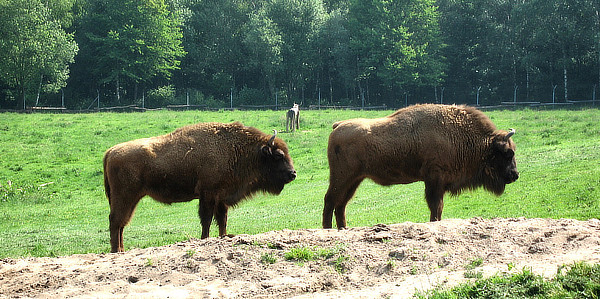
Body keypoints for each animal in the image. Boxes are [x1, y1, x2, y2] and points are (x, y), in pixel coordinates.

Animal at [105, 122, 298, 253]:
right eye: (278, 155)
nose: (293, 174)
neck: (237, 150)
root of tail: (110, 151)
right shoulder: (208, 195)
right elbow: (206, 219)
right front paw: (205, 238)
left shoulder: (221, 197)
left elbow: (222, 220)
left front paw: (223, 236)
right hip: (125, 197)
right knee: (116, 221)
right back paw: (116, 251)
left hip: (130, 199)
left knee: (121, 223)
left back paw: (121, 250)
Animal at [324, 103, 520, 230]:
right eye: (508, 153)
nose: (515, 175)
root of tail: (338, 126)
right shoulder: (435, 179)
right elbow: (436, 205)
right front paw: (434, 222)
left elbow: (437, 206)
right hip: (341, 177)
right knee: (330, 200)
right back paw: (327, 229)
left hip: (354, 179)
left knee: (341, 204)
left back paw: (343, 229)